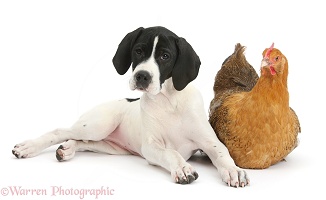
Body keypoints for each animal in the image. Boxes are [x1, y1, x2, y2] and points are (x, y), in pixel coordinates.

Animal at [11, 25, 248, 187]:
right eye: (139, 51)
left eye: (165, 56)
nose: (142, 76)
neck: (168, 101)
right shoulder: (152, 147)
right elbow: (171, 153)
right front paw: (182, 168)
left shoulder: (208, 141)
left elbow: (222, 153)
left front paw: (233, 170)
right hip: (98, 125)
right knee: (60, 131)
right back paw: (28, 147)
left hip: (110, 146)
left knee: (82, 142)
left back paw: (67, 149)